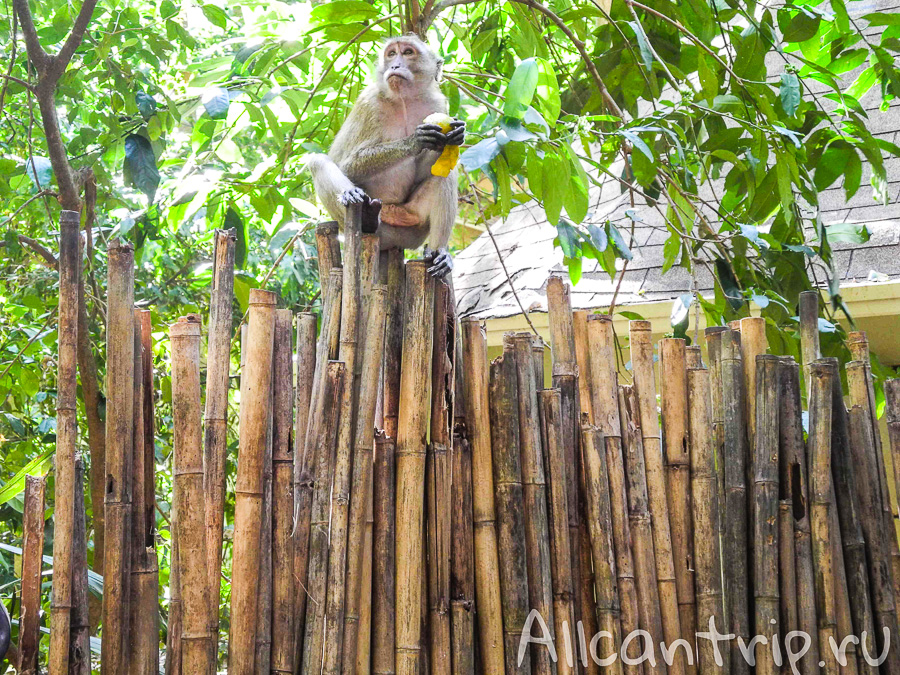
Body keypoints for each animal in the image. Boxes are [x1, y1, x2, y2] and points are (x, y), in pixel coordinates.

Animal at [307, 34, 465, 277]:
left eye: (408, 52)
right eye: (391, 54)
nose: (395, 65)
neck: (404, 100)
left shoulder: (437, 104)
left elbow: (430, 169)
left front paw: (453, 137)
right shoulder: (368, 103)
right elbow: (346, 165)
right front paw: (415, 141)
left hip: (412, 227)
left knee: (445, 174)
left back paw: (439, 253)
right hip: (372, 228)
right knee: (318, 161)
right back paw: (365, 216)